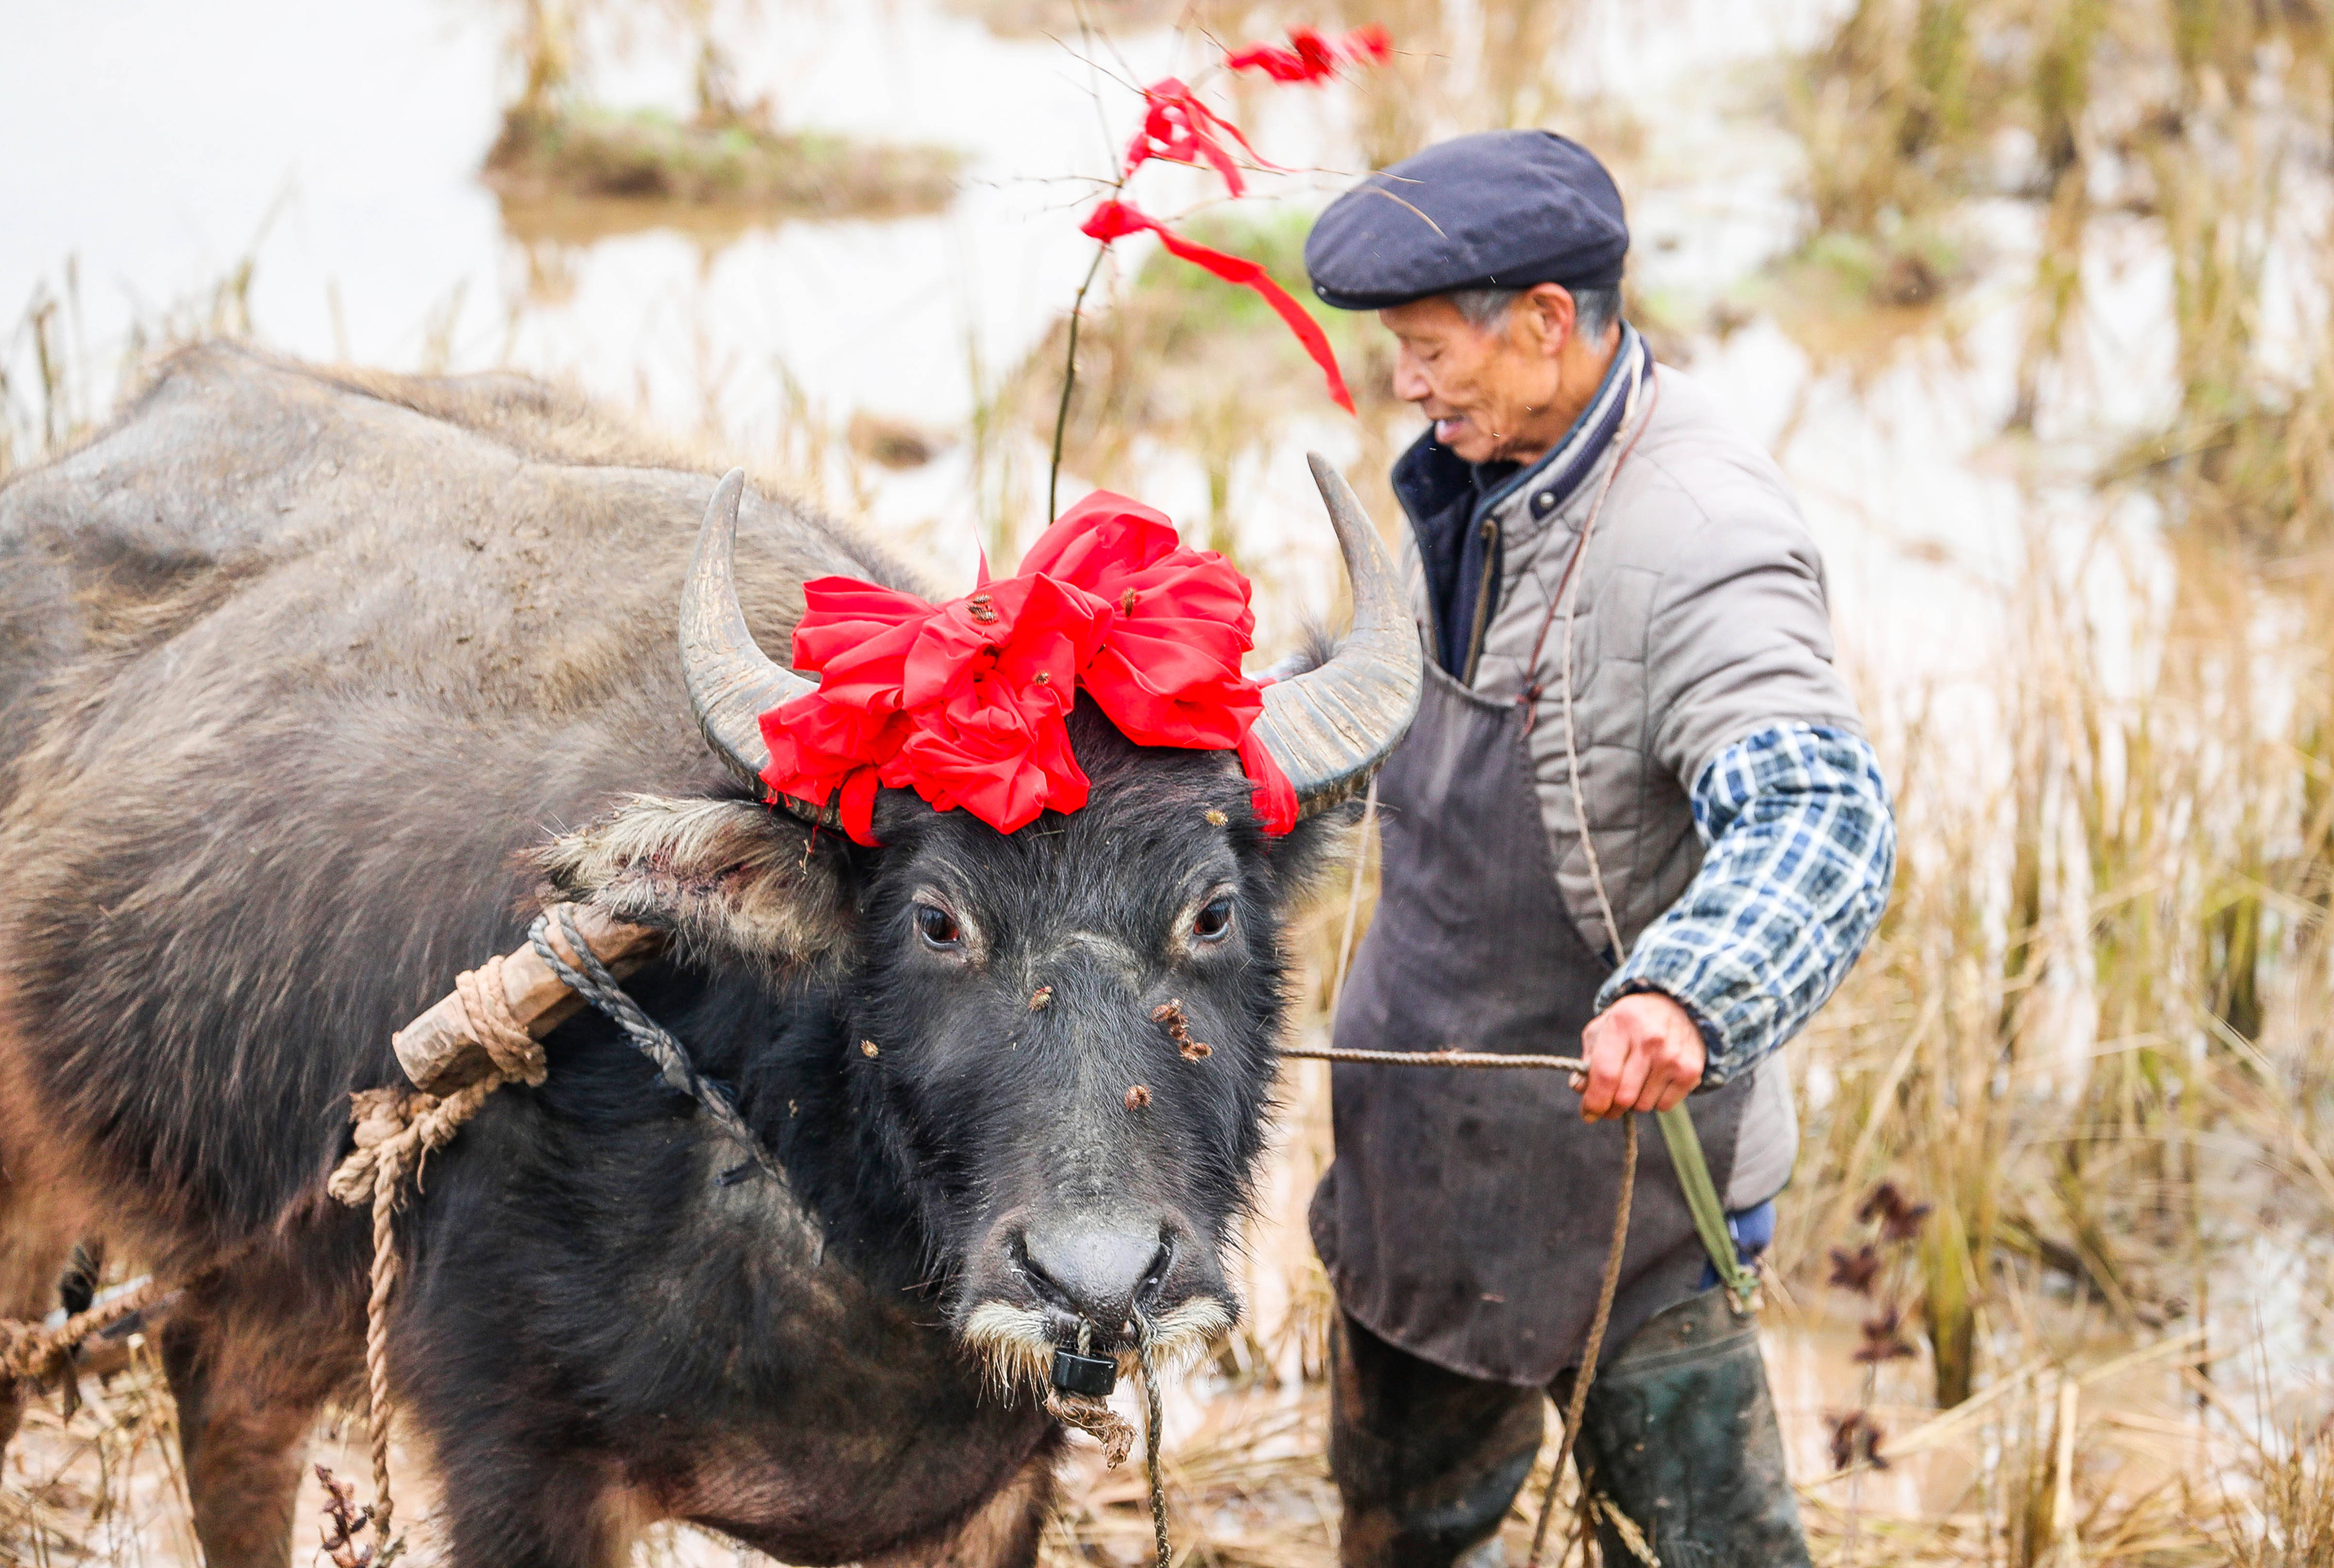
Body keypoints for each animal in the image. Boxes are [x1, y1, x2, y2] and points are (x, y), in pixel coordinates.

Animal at [0, 345, 1419, 1568]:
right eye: (935, 918)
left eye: (1212, 913)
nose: (1100, 1276)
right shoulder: (516, 1463)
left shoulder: (990, 1495)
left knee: (224, 1401)